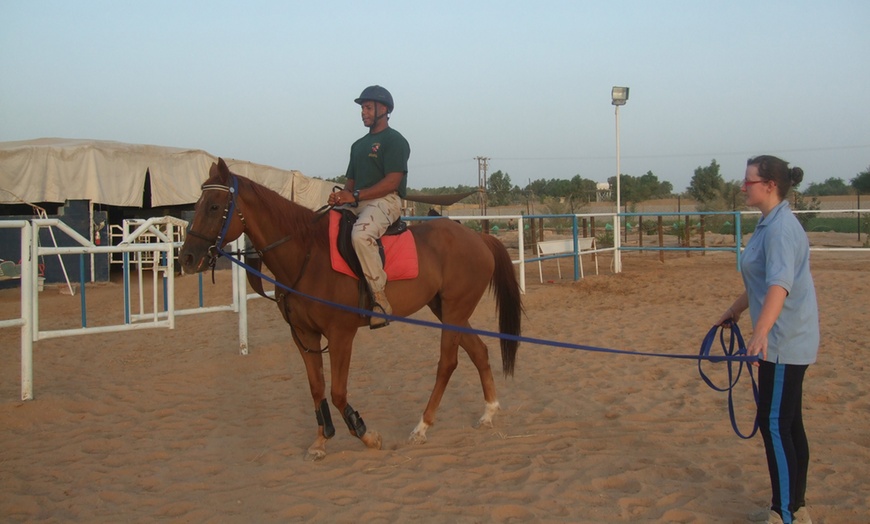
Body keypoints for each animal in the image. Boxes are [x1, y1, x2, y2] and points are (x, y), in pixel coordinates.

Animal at [176, 158, 516, 460]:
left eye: (214, 207)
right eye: (197, 204)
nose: (187, 258)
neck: (308, 255)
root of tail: (478, 237)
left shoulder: (340, 335)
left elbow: (338, 392)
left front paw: (366, 434)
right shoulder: (304, 336)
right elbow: (317, 389)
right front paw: (320, 441)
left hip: (454, 311)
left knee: (447, 363)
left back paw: (422, 426)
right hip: (446, 311)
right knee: (479, 352)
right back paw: (488, 413)